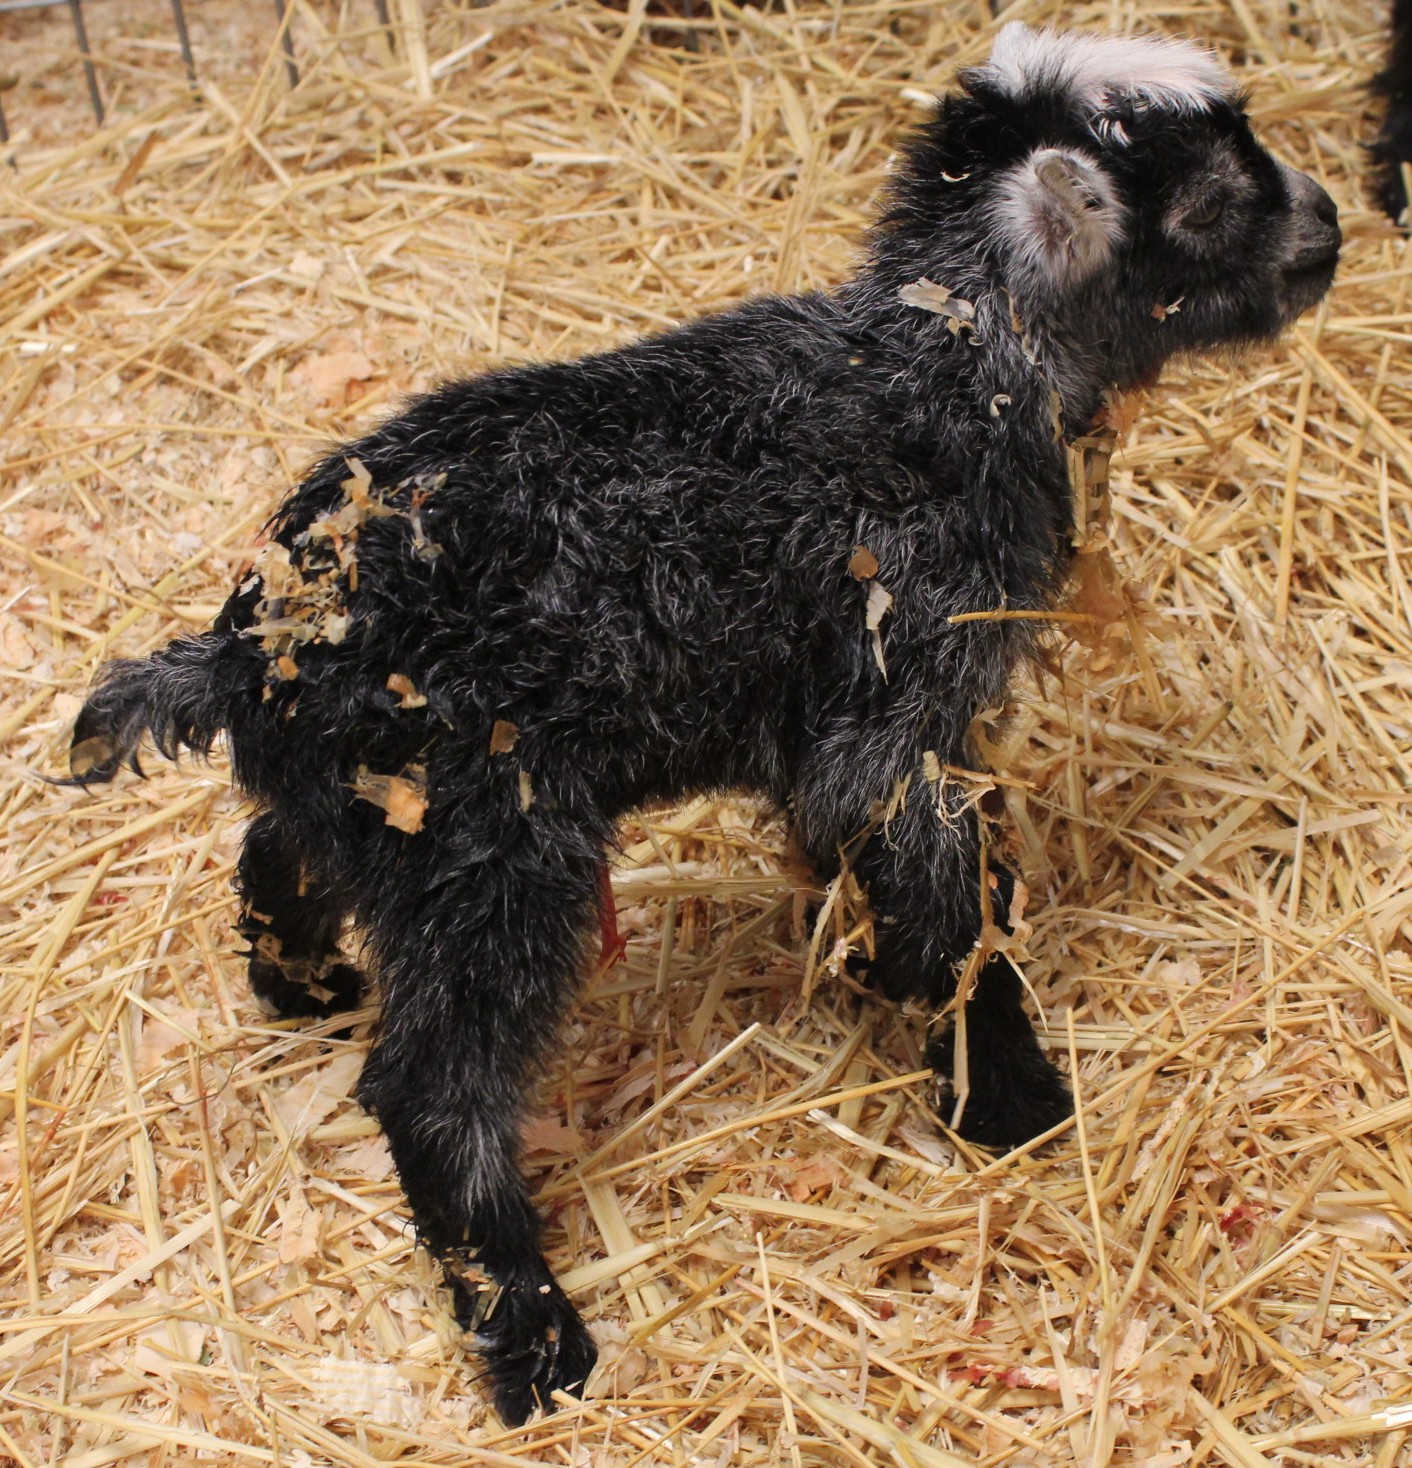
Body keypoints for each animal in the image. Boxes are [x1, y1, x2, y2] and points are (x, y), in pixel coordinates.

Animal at [66, 24, 1339, 1424]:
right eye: (1211, 204)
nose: (1331, 226)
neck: (946, 372)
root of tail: (249, 654)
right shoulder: (892, 701)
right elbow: (944, 908)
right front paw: (1003, 1093)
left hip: (374, 810)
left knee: (275, 850)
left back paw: (303, 983)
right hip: (488, 843)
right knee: (434, 1088)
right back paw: (533, 1338)